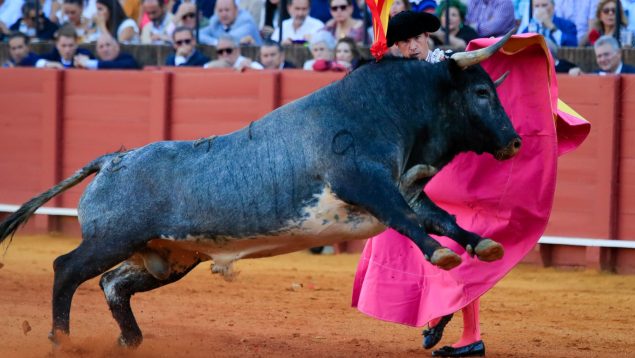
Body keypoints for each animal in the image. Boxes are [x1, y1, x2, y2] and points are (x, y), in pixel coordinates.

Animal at [1, 32, 520, 346]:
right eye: (481, 93)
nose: (514, 141)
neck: (386, 110)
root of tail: (112, 159)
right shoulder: (367, 184)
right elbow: (408, 221)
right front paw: (443, 255)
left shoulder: (405, 188)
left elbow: (442, 217)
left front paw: (483, 245)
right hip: (111, 239)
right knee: (67, 270)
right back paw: (61, 341)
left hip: (167, 257)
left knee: (112, 285)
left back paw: (130, 343)